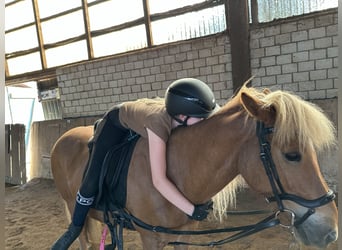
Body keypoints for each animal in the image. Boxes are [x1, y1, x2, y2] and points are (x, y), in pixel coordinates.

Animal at [50, 83, 336, 249]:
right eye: (292, 155)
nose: (331, 233)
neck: (180, 172)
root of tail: (63, 138)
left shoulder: (183, 235)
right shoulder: (150, 237)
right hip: (75, 207)